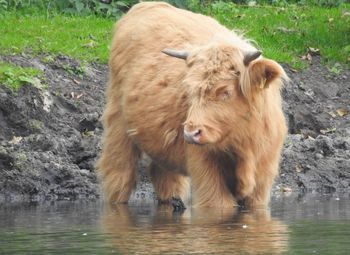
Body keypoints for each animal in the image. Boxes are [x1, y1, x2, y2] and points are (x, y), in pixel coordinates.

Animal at [98, 1, 288, 208]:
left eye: (226, 92)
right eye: (189, 91)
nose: (190, 133)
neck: (244, 142)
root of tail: (146, 5)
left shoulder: (262, 180)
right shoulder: (207, 173)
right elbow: (219, 206)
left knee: (164, 175)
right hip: (117, 121)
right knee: (119, 170)